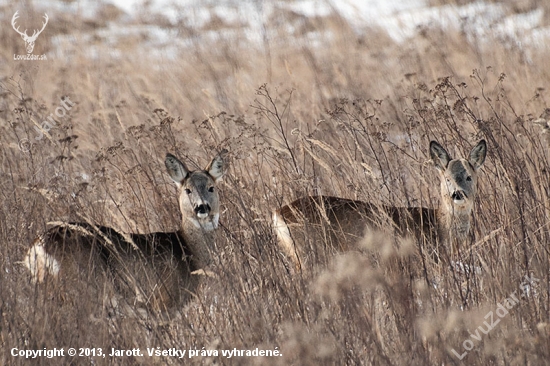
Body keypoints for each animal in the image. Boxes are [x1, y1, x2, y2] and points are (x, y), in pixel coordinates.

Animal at [23, 149, 229, 312]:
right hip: (83, 287)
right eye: (188, 190)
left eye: (211, 188)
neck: (188, 251)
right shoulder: (163, 302)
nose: (202, 207)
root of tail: (39, 247)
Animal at [274, 139, 490, 270]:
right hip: (310, 252)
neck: (439, 226)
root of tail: (278, 213)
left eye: (469, 177)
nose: (457, 194)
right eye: (447, 178)